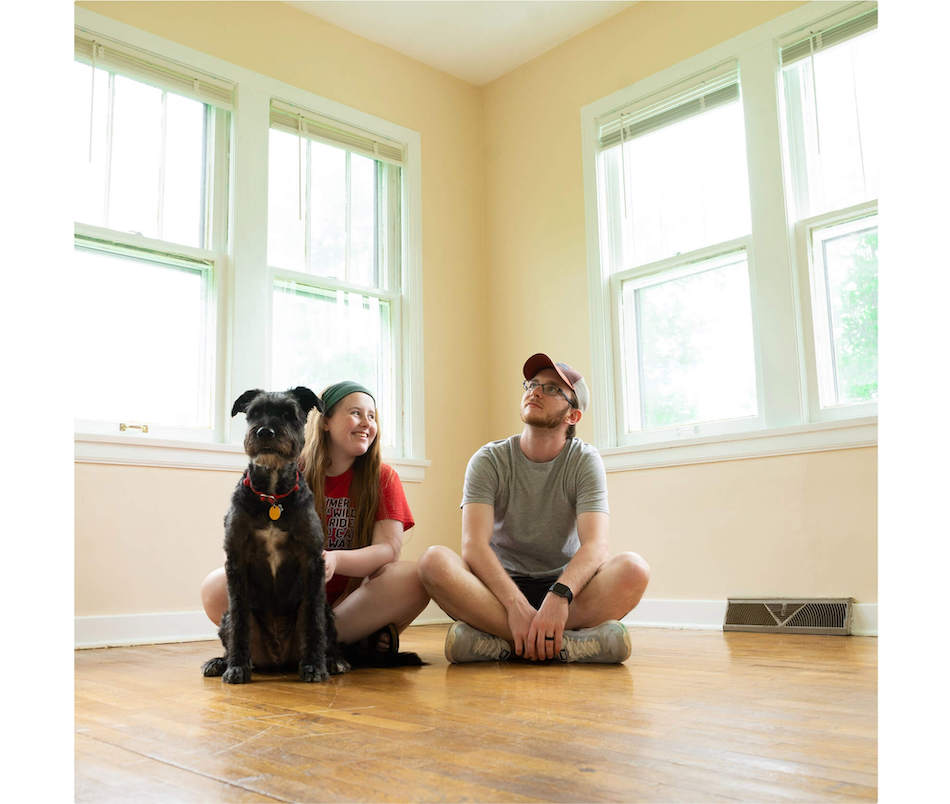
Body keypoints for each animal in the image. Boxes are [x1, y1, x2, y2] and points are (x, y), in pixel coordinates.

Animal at [204, 386, 350, 680]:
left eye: (288, 413)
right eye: (254, 412)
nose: (265, 432)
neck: (272, 497)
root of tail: (278, 658)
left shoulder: (312, 561)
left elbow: (313, 621)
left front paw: (315, 666)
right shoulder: (236, 561)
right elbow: (240, 620)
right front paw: (236, 666)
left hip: (326, 613)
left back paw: (333, 660)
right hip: (228, 618)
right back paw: (221, 661)